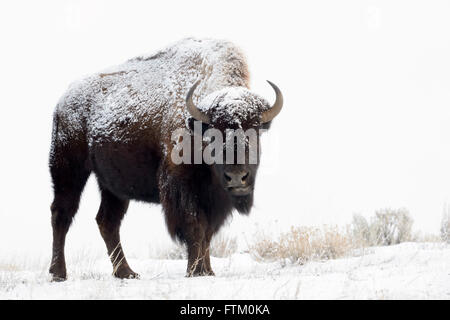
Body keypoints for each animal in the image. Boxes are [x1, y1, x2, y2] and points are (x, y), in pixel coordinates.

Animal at [48, 38, 282, 280]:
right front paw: (195, 271)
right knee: (62, 213)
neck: (196, 123)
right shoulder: (182, 188)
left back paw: (126, 272)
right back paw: (59, 273)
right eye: (213, 134)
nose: (237, 177)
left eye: (255, 131)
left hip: (113, 186)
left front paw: (208, 271)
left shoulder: (214, 197)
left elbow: (208, 232)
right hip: (68, 170)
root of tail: (63, 101)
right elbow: (195, 226)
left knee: (107, 221)